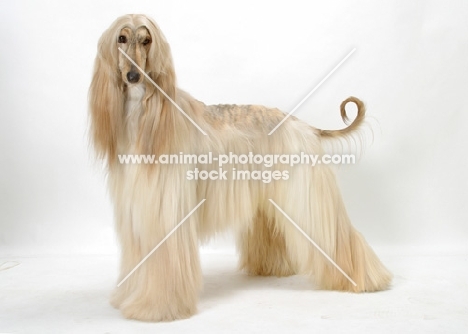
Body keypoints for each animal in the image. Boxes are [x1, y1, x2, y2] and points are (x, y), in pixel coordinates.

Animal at [88, 14, 392, 322]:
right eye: (121, 38)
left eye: (147, 40)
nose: (133, 76)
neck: (143, 115)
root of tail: (301, 124)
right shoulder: (138, 210)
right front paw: (128, 298)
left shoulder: (167, 212)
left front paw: (156, 308)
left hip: (308, 195)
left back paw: (367, 279)